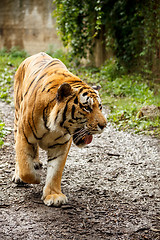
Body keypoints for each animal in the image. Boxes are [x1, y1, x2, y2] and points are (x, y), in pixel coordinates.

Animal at [12, 52, 107, 206]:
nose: (104, 125)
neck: (54, 126)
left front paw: (54, 196)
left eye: (100, 107)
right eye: (87, 108)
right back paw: (19, 174)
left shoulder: (61, 145)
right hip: (16, 117)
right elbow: (25, 166)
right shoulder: (23, 136)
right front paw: (35, 178)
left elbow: (55, 171)